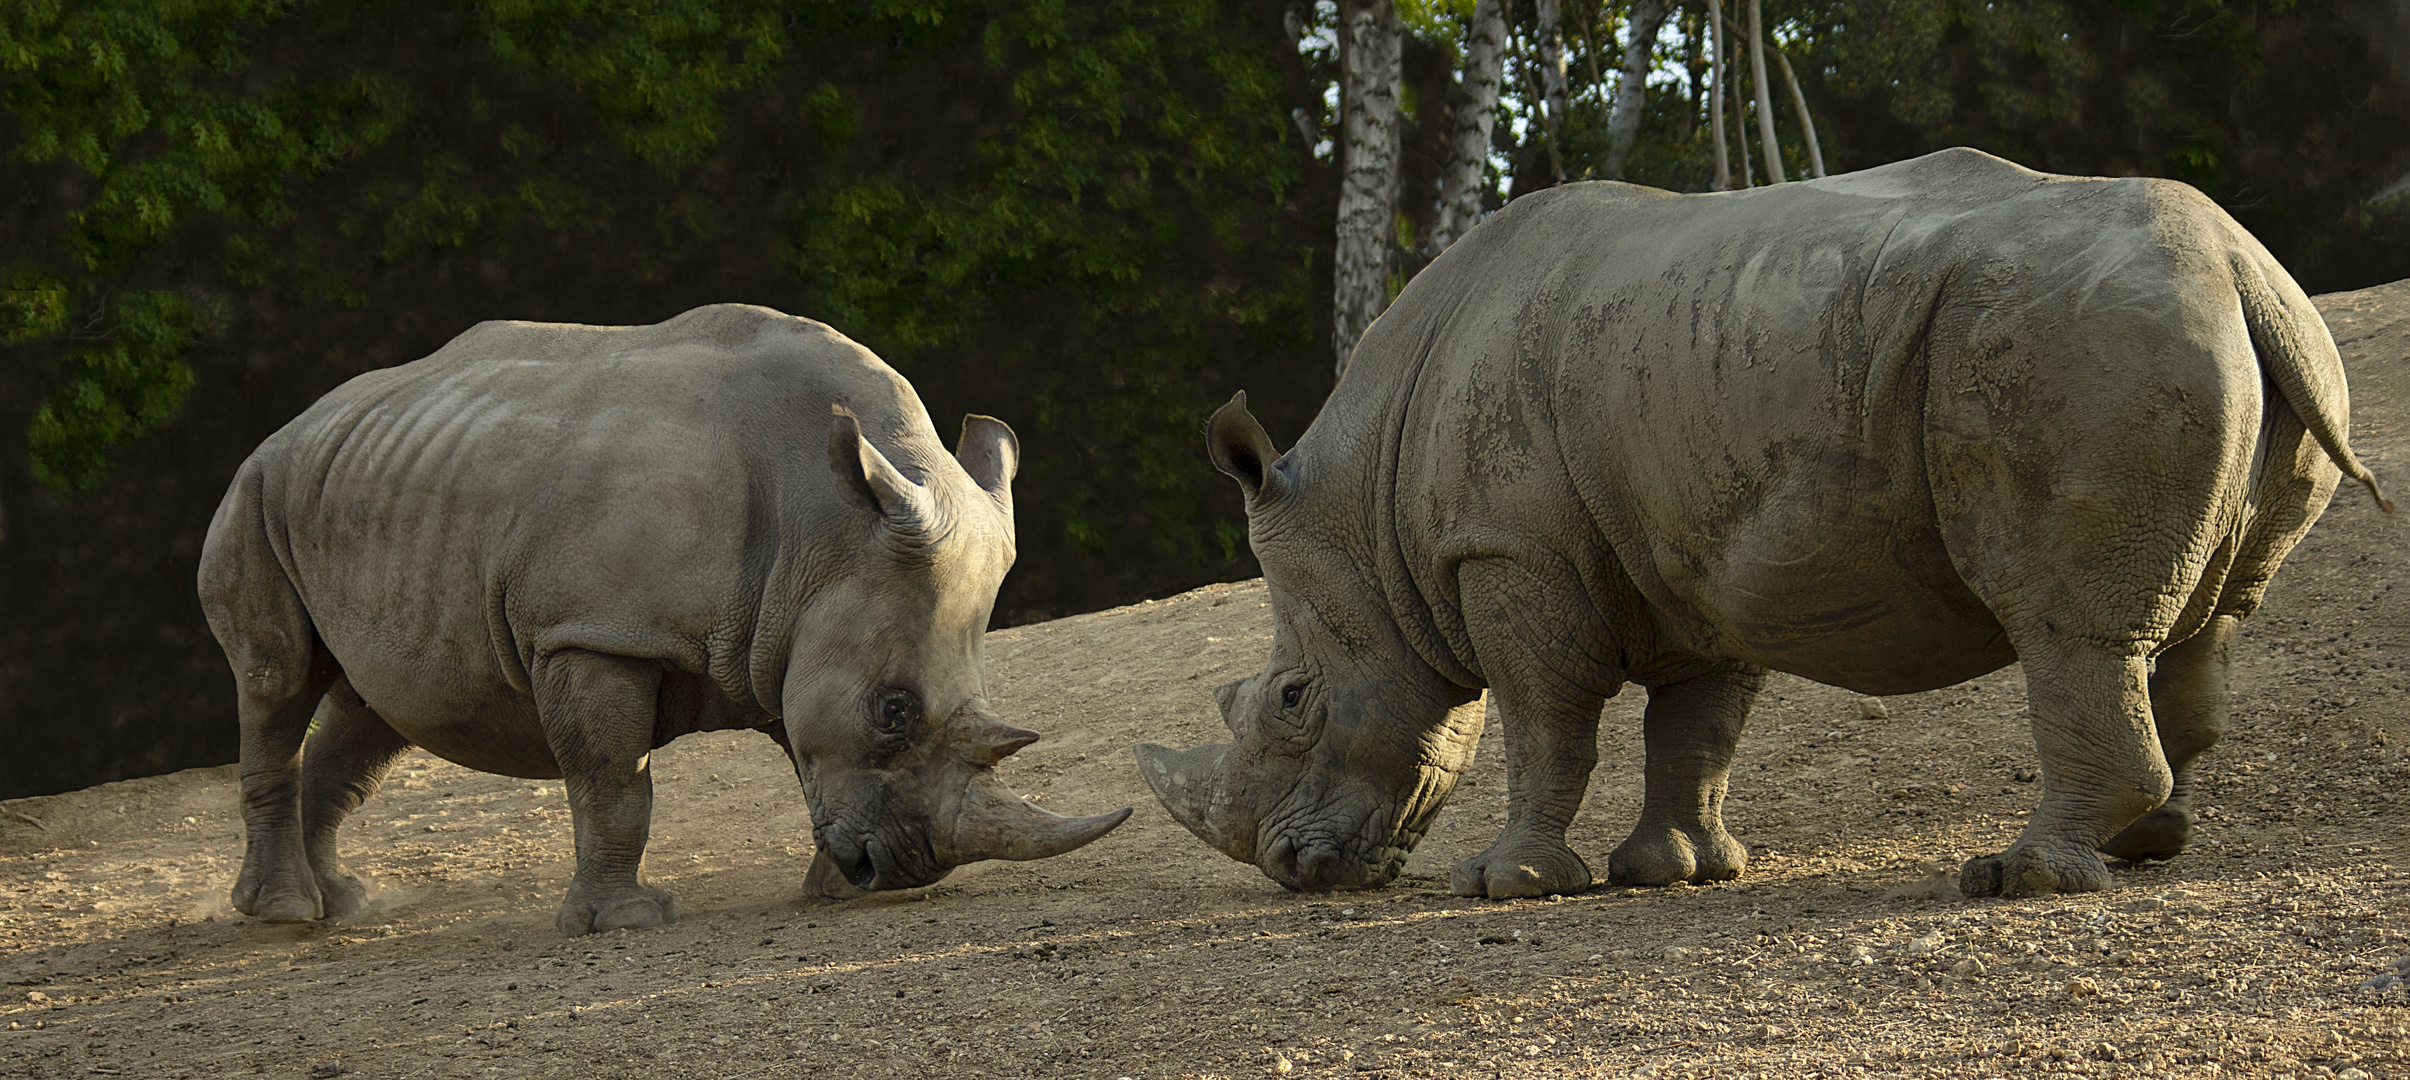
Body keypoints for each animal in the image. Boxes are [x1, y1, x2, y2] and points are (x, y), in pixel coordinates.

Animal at [197, 303, 1127, 935]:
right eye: (892, 711)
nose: (902, 870)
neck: (823, 524)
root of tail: (295, 422)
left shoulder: (788, 629)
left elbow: (803, 752)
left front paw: (826, 886)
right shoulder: (591, 632)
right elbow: (613, 781)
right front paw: (625, 922)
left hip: (369, 489)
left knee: (374, 711)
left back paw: (340, 906)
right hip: (255, 491)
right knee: (278, 680)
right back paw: (284, 915)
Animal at [1147, 145, 2390, 901]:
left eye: (1291, 700)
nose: (1291, 868)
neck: (1366, 510)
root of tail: (2238, 265)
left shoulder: (1508, 549)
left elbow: (1546, 719)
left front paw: (1505, 885)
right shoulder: (1698, 545)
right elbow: (1696, 728)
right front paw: (1675, 871)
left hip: (2080, 343)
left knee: (2068, 630)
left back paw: (2020, 877)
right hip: (2217, 339)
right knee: (2205, 621)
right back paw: (2142, 849)